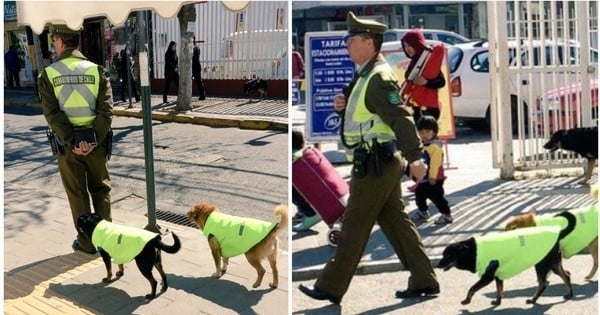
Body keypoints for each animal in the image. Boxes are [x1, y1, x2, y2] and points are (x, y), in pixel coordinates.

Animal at [436, 212, 576, 306]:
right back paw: (569, 294)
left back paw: (533, 299)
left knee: (543, 283)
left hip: (541, 264)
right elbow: (499, 289)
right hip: (554, 264)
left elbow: (472, 288)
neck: (473, 250)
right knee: (566, 275)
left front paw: (467, 300)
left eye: (448, 255)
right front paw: (498, 301)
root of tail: (558, 234)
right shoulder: (498, 275)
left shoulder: (487, 277)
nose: (437, 265)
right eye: (443, 254)